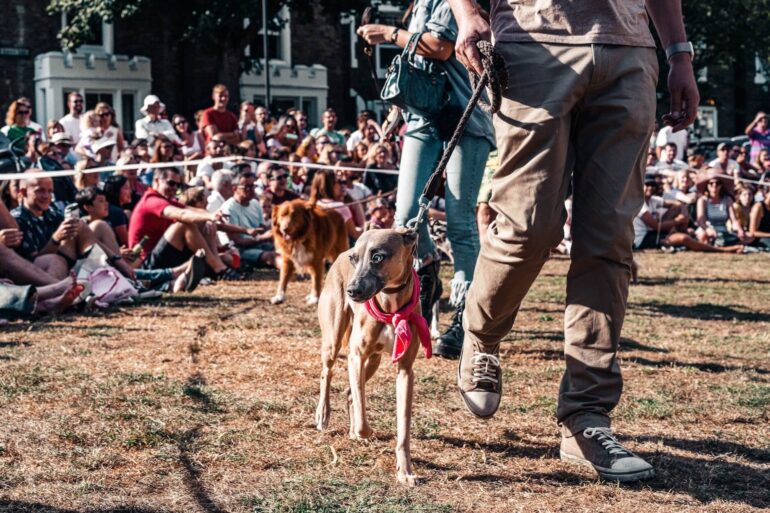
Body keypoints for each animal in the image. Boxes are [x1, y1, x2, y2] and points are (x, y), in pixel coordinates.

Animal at [316, 228, 428, 484]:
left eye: (378, 257)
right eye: (354, 259)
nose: (352, 291)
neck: (391, 309)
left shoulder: (405, 370)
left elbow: (403, 426)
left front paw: (405, 470)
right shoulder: (356, 357)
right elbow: (362, 417)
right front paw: (363, 431)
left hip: (374, 360)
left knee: (349, 392)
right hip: (333, 340)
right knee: (327, 373)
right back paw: (323, 414)